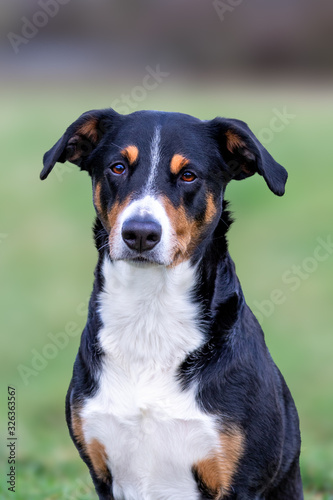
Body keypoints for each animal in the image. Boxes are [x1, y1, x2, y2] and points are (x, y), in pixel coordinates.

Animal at [40, 110, 302, 500]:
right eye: (118, 167)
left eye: (188, 175)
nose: (140, 233)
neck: (150, 313)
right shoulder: (103, 473)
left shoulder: (241, 481)